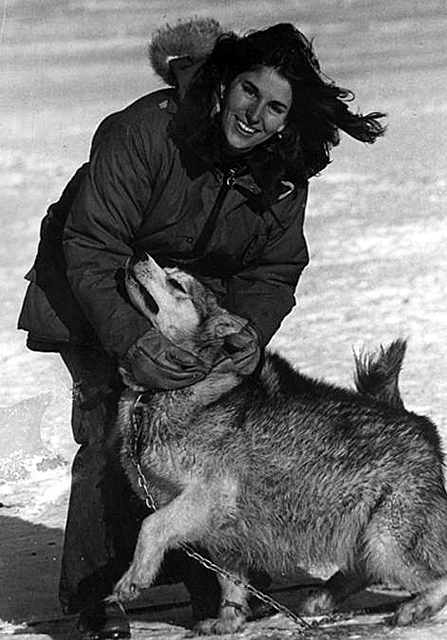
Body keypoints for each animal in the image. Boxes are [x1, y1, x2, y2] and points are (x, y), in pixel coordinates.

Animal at [113, 252, 447, 632]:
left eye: (176, 284)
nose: (138, 254)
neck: (158, 394)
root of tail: (419, 423)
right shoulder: (220, 529)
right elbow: (230, 581)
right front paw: (228, 621)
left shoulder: (211, 495)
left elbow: (151, 526)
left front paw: (132, 580)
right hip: (365, 534)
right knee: (362, 569)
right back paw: (321, 599)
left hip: (387, 538)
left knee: (436, 579)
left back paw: (413, 608)